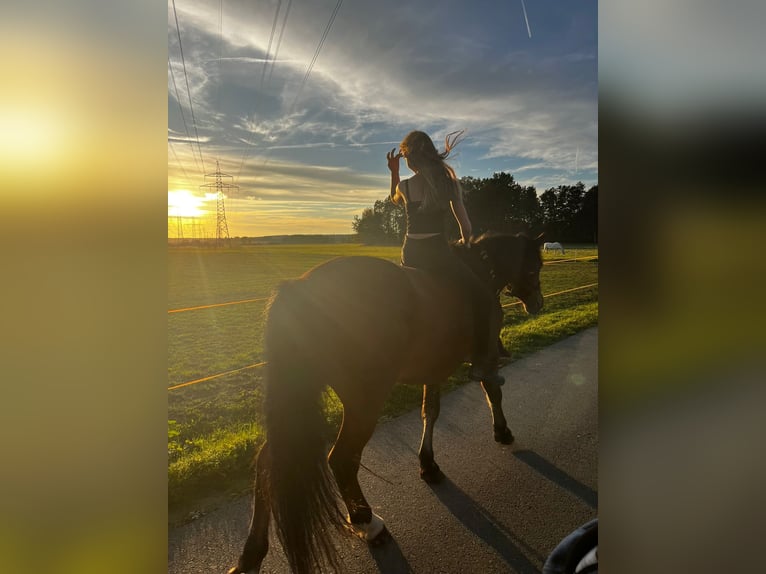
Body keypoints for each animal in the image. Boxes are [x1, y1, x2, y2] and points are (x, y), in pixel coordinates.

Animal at [228, 233, 544, 574]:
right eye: (536, 264)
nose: (538, 303)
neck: (478, 268)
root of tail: (300, 287)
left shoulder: (433, 369)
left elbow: (430, 411)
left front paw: (428, 464)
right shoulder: (483, 357)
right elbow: (492, 391)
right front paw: (503, 432)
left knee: (267, 461)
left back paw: (251, 554)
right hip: (364, 401)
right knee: (342, 458)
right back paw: (368, 523)